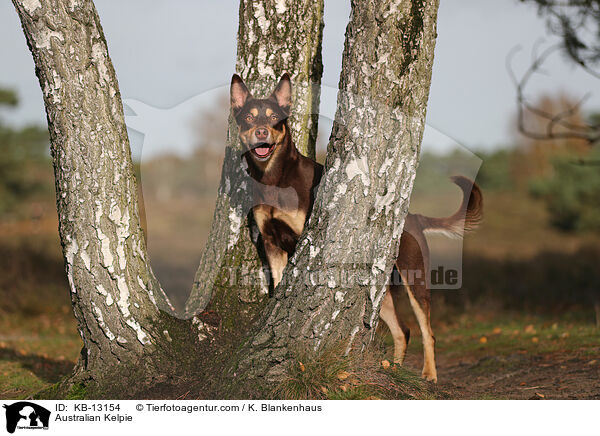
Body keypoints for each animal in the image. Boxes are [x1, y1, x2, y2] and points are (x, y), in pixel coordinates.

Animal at [230, 72, 482, 382]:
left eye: (274, 117)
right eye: (248, 118)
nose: (262, 133)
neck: (274, 178)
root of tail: (414, 216)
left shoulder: (304, 238)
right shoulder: (271, 242)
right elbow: (278, 283)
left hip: (415, 277)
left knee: (427, 331)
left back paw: (429, 375)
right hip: (377, 291)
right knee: (403, 331)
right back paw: (393, 369)